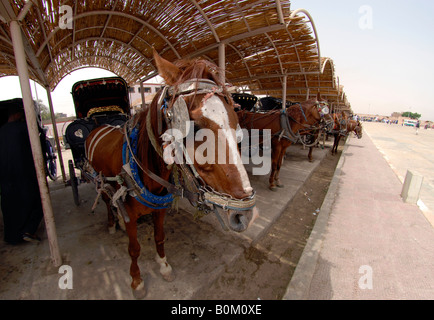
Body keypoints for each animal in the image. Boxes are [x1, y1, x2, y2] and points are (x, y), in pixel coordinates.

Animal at [85, 50, 258, 298]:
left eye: (236, 120)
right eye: (194, 127)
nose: (245, 215)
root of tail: (100, 125)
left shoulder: (160, 210)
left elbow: (159, 237)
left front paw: (164, 266)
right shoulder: (130, 213)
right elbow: (134, 248)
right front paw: (137, 281)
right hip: (100, 182)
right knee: (108, 201)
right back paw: (111, 222)